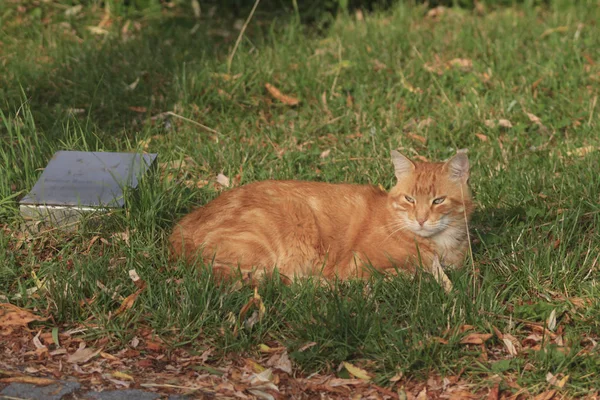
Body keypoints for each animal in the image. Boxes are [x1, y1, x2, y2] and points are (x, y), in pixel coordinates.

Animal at [169, 150, 474, 282]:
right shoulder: (358, 266)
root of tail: (180, 228)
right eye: (410, 199)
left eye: (438, 201)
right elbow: (408, 273)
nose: (421, 219)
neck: (439, 245)